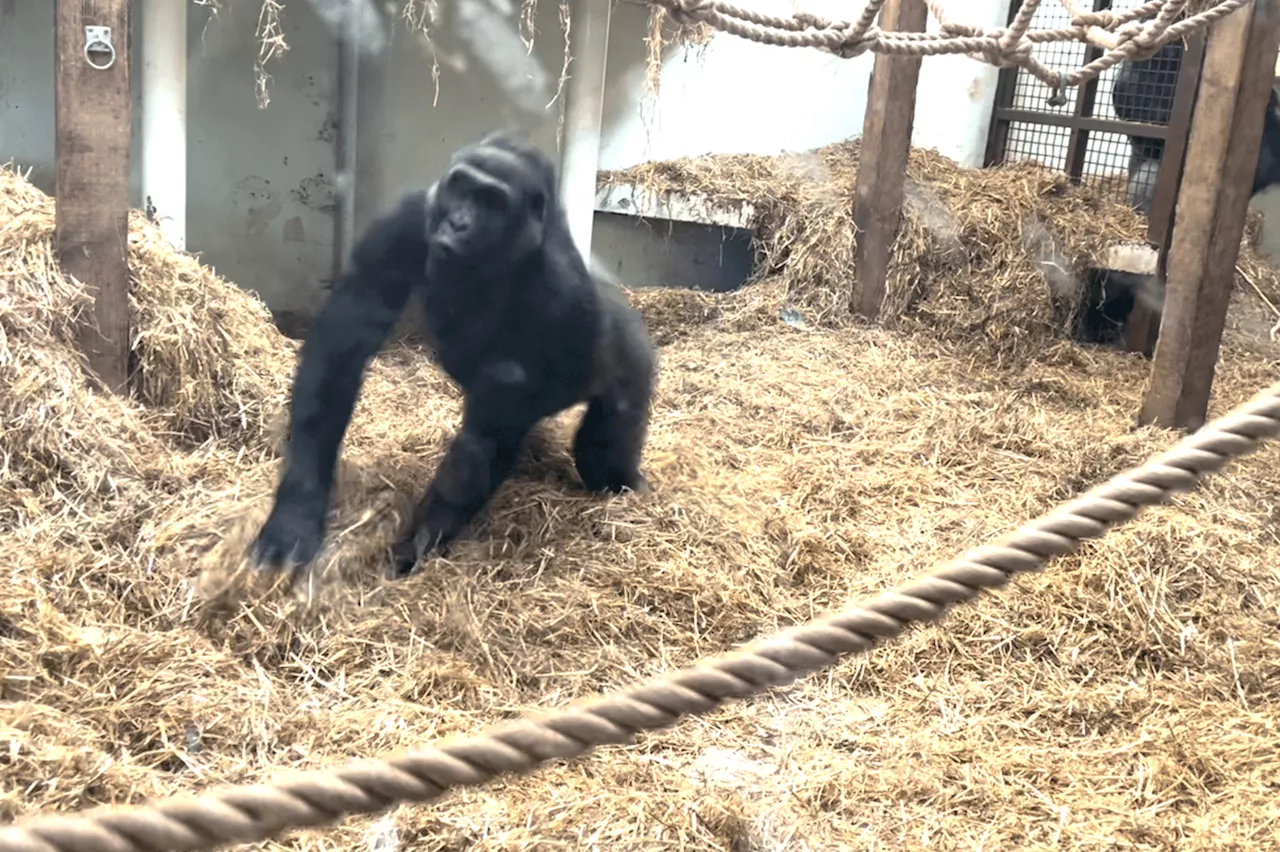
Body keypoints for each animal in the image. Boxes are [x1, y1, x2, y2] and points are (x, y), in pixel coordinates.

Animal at [248, 129, 655, 578]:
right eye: (461, 186)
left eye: (491, 201)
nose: (458, 223)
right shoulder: (406, 221)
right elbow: (342, 344)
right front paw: (297, 510)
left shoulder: (564, 294)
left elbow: (490, 431)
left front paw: (414, 548)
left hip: (630, 350)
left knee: (606, 446)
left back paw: (628, 484)